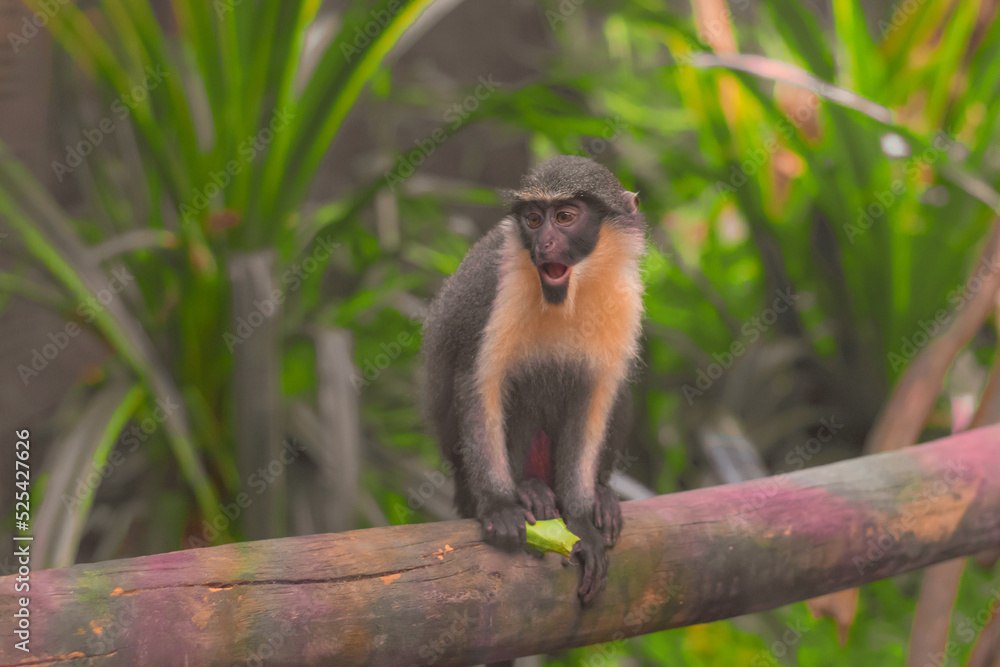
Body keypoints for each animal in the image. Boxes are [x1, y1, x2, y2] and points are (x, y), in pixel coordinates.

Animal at [421, 155, 645, 604]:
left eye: (564, 217)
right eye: (533, 219)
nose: (543, 245)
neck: (570, 292)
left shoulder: (626, 303)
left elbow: (595, 395)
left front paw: (580, 519)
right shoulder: (494, 286)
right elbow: (479, 383)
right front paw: (499, 506)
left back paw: (600, 494)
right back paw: (529, 491)